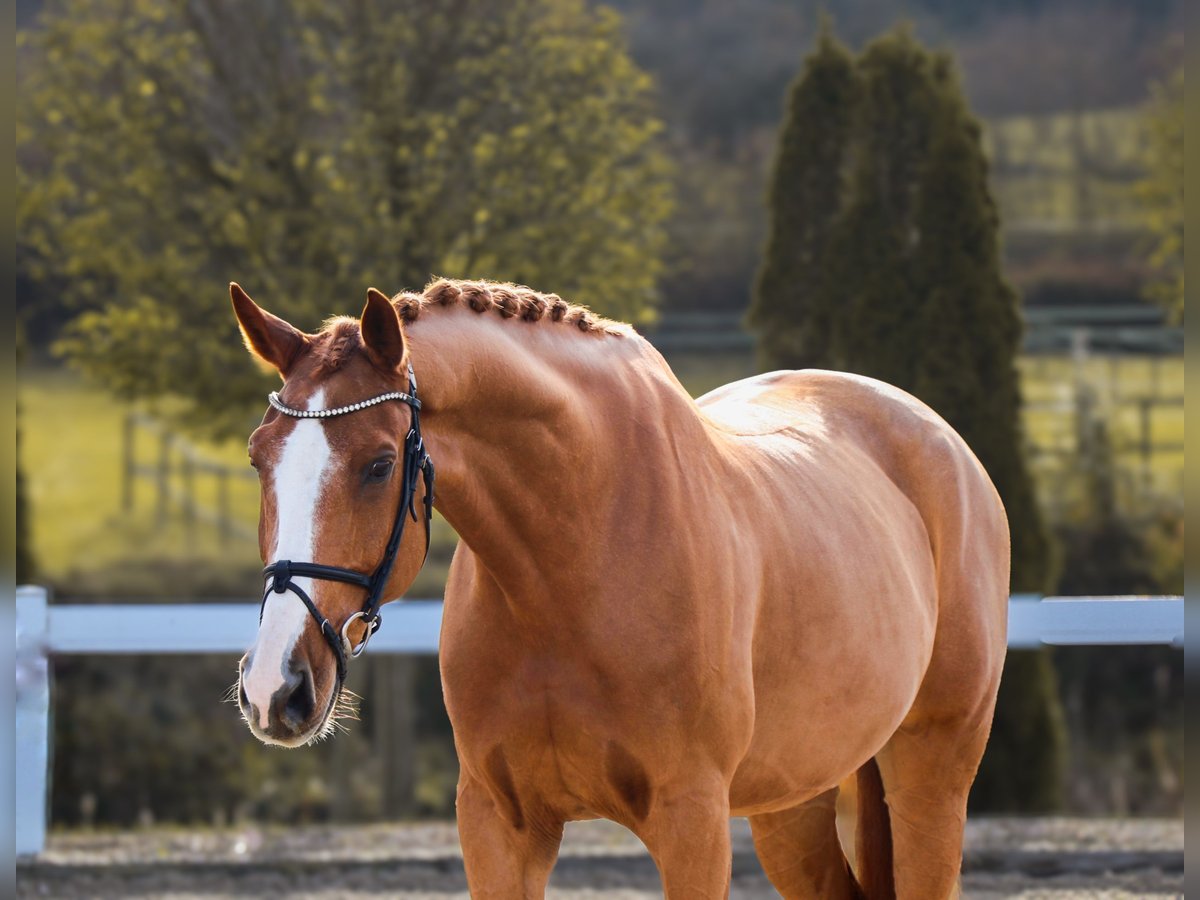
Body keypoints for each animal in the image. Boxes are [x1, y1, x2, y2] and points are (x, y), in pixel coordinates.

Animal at [231, 277, 1009, 899]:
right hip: (793, 800)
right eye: (258, 457)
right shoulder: (498, 825)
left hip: (932, 773)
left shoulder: (691, 821)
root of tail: (942, 441)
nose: (276, 688)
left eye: (379, 464)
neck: (572, 570)